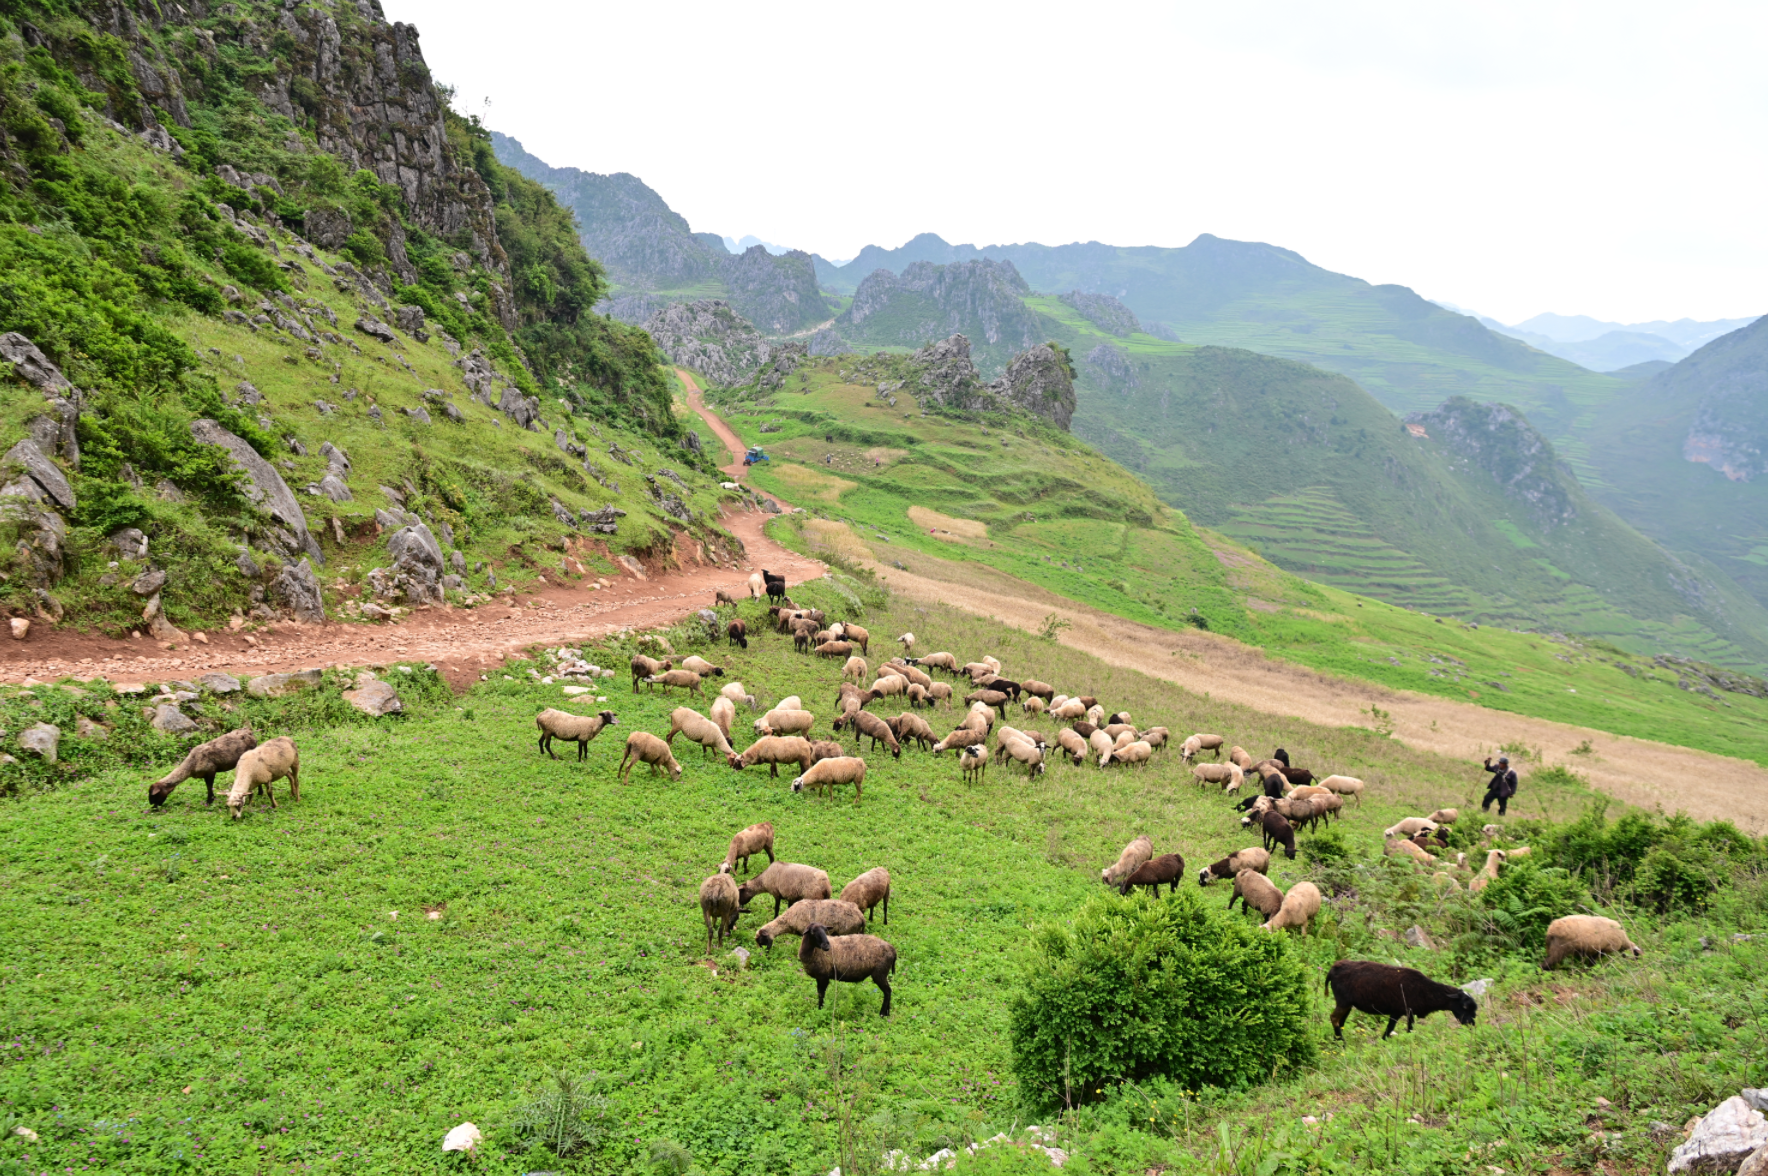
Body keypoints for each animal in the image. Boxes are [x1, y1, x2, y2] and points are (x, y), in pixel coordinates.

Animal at [1324, 961, 1479, 1040]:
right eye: (1465, 1007)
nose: (1472, 1024)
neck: (1426, 990)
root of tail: (1332, 970)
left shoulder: (1409, 1012)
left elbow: (1409, 1029)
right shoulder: (1397, 1010)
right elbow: (1390, 1029)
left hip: (1347, 1003)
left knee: (1340, 1021)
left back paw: (1337, 1040)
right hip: (1343, 1000)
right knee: (1334, 1018)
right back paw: (1342, 1043)